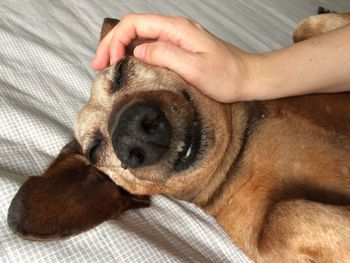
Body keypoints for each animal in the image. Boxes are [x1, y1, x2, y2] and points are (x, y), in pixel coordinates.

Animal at [7, 9, 350, 262]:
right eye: (94, 150)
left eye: (121, 71)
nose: (130, 132)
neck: (241, 146)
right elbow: (284, 214)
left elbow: (304, 27)